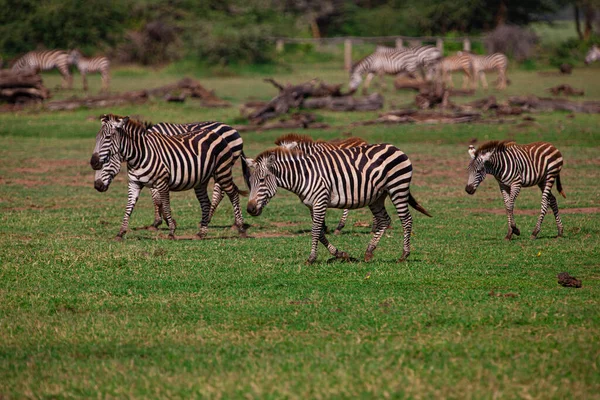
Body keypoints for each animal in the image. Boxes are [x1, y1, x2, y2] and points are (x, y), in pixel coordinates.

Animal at [89, 115, 248, 241]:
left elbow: (163, 203)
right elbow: (130, 207)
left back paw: (240, 227)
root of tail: (231, 129)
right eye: (96, 138)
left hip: (222, 170)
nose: (94, 162)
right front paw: (121, 232)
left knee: (231, 193)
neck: (140, 154)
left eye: (108, 138)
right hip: (202, 179)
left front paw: (169, 228)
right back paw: (202, 231)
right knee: (207, 201)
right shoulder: (134, 183)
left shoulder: (161, 181)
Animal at [244, 143, 432, 262]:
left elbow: (315, 231)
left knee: (406, 220)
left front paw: (311, 258)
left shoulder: (320, 200)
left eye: (262, 180)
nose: (250, 209)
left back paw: (404, 255)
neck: (303, 176)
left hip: (397, 187)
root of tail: (395, 147)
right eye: (250, 182)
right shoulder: (312, 205)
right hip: (377, 196)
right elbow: (320, 232)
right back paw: (369, 252)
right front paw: (340, 254)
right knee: (385, 220)